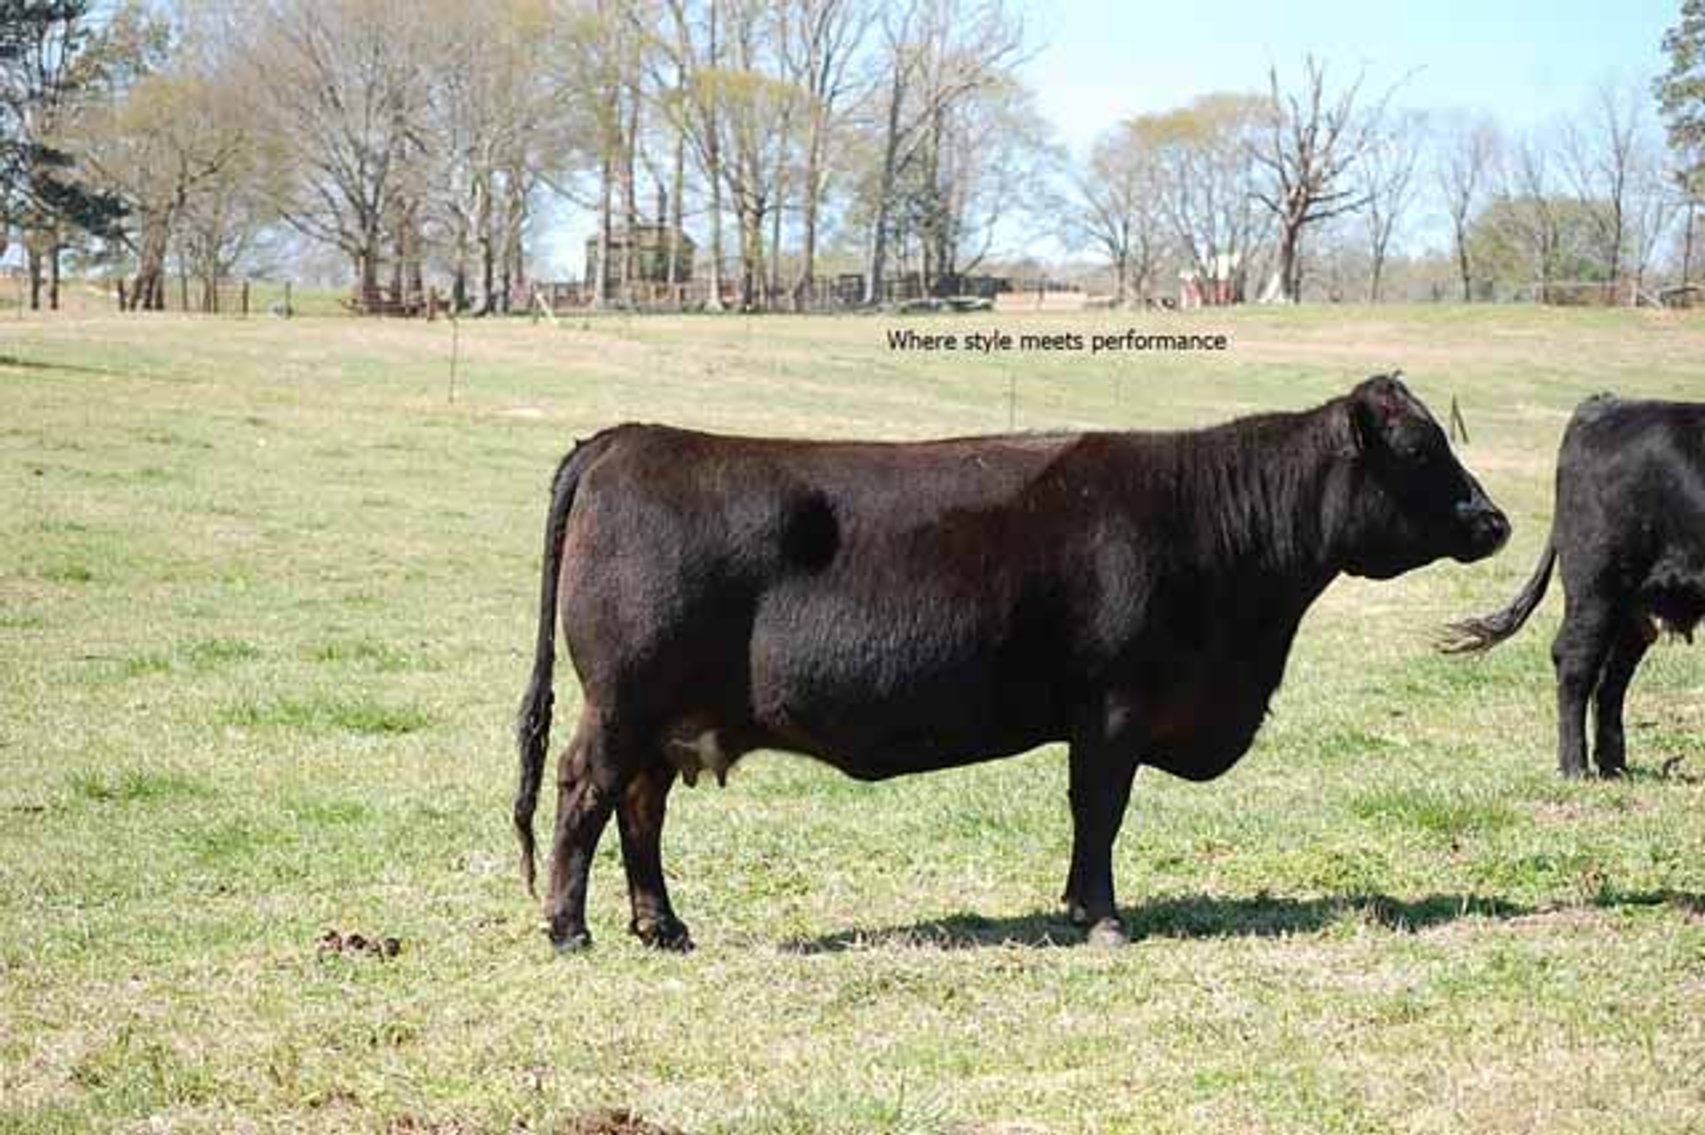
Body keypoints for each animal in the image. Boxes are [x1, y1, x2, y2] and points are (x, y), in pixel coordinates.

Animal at [515, 374, 1510, 953]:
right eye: (1419, 449)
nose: (1494, 520)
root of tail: (625, 437)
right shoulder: (1113, 706)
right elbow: (1099, 810)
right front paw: (1099, 917)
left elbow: (1091, 813)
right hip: (623, 702)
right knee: (586, 789)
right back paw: (569, 928)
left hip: (663, 717)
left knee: (639, 808)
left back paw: (662, 926)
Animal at [1440, 394, 1705, 778]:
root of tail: (1605, 402)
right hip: (1595, 587)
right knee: (1576, 660)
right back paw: (1575, 766)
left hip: (1628, 607)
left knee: (1611, 676)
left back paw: (1613, 766)